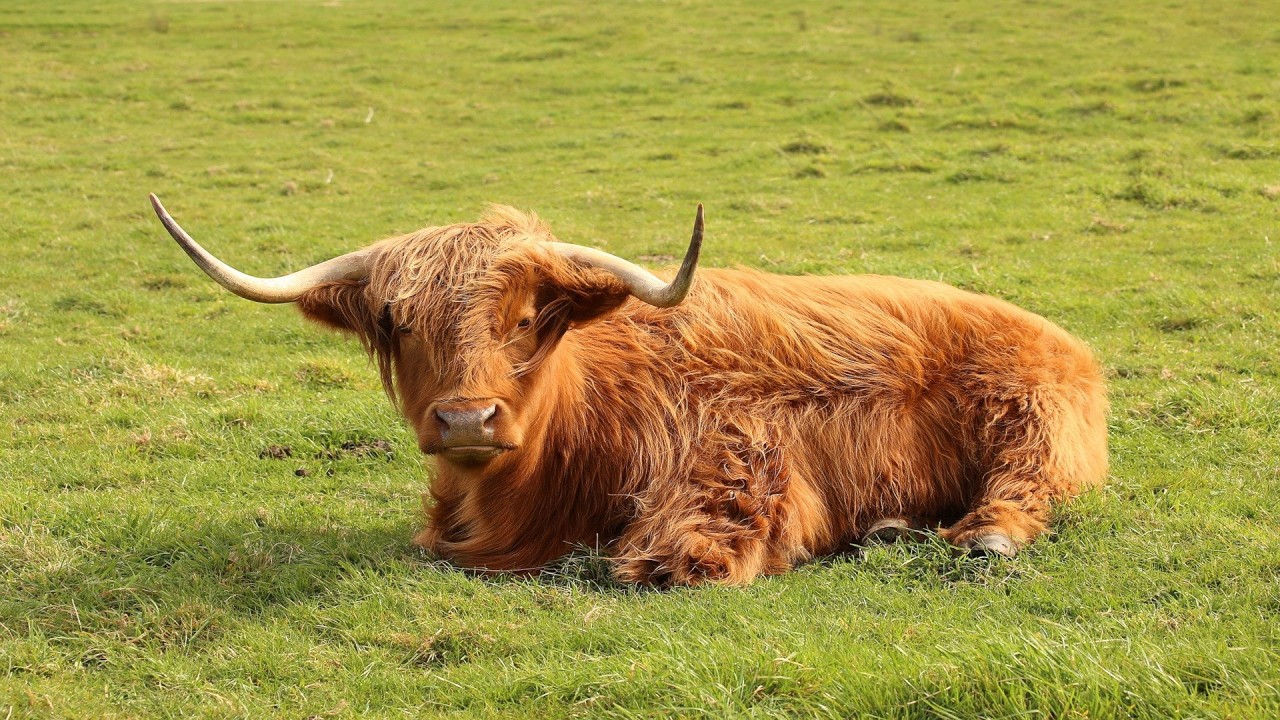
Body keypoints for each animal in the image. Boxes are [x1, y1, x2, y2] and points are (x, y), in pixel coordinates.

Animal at [150, 194, 1108, 586]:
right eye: (395, 322)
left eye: (528, 317)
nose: (465, 417)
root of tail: (1062, 340)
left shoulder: (735, 453)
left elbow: (679, 553)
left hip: (1032, 431)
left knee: (1026, 491)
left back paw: (981, 536)